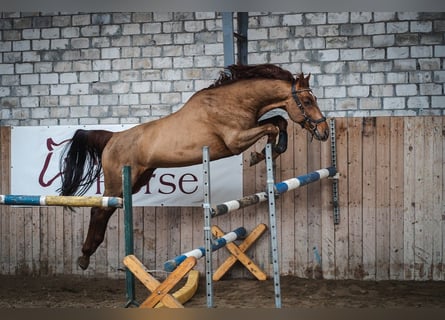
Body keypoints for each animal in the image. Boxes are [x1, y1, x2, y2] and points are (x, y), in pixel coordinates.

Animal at [59, 63, 328, 270]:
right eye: (307, 100)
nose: (324, 132)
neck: (234, 101)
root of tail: (112, 138)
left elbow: (279, 121)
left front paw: (273, 149)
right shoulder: (235, 141)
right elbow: (272, 126)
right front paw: (260, 155)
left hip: (136, 181)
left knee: (107, 210)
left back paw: (87, 255)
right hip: (117, 182)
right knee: (99, 210)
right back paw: (85, 256)